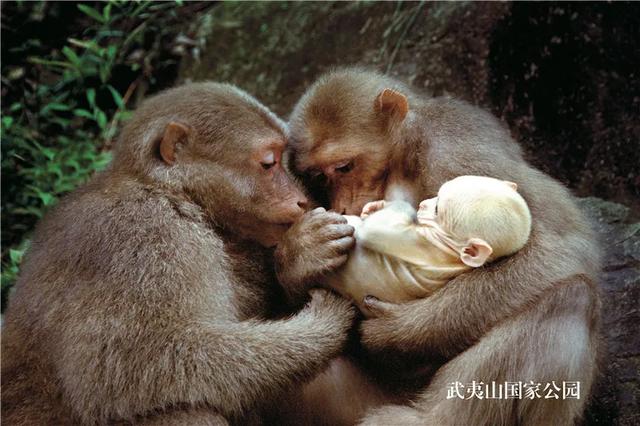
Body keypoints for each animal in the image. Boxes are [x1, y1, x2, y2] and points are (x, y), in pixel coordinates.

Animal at [2, 83, 358, 426]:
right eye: (268, 163)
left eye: (283, 158)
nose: (301, 199)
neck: (177, 196)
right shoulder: (145, 236)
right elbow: (125, 367)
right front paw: (323, 318)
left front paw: (296, 265)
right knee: (185, 409)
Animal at [324, 175, 528, 314]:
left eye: (437, 208)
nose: (422, 204)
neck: (453, 255)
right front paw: (375, 207)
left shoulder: (427, 247)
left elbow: (375, 230)